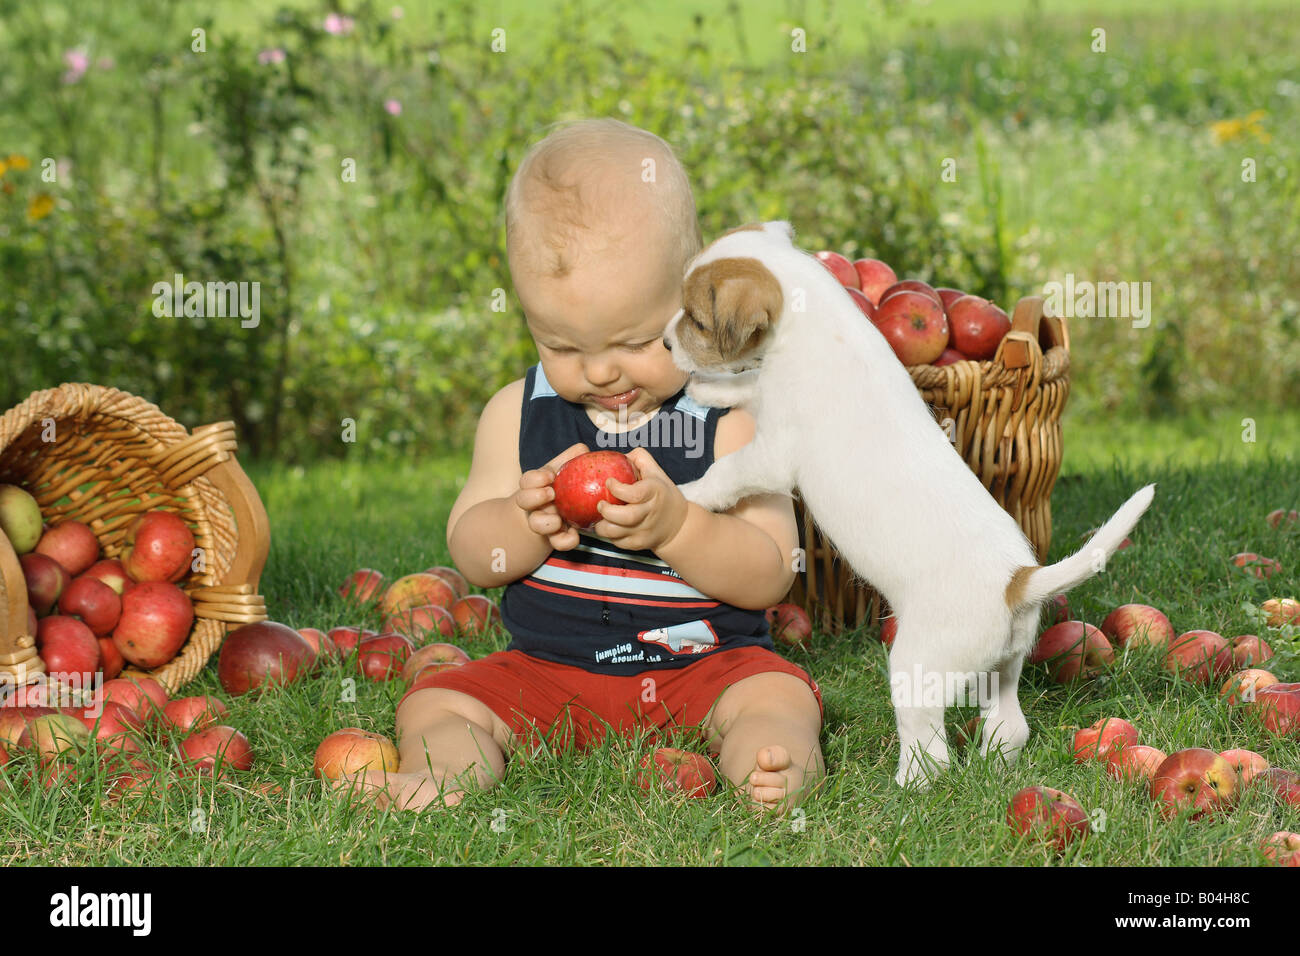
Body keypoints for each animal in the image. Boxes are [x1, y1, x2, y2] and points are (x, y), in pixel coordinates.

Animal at [665, 221, 1154, 790]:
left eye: (697, 319)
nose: (665, 342)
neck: (819, 326)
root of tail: (1018, 583)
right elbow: (746, 383)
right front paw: (709, 389)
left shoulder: (772, 456)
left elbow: (725, 472)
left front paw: (686, 496)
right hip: (1002, 670)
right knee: (1009, 725)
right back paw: (993, 761)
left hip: (916, 670)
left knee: (932, 752)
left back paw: (904, 788)